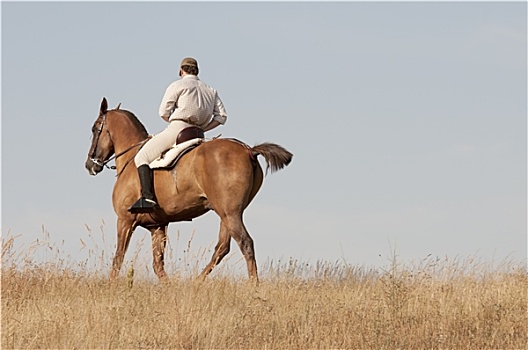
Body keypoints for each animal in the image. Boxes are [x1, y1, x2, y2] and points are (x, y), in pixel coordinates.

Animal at [85, 98, 292, 282]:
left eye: (94, 129)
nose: (90, 165)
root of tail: (249, 150)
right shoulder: (158, 226)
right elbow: (158, 265)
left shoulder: (125, 220)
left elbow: (118, 259)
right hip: (228, 213)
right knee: (222, 247)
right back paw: (196, 282)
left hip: (230, 213)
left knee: (245, 243)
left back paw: (253, 285)